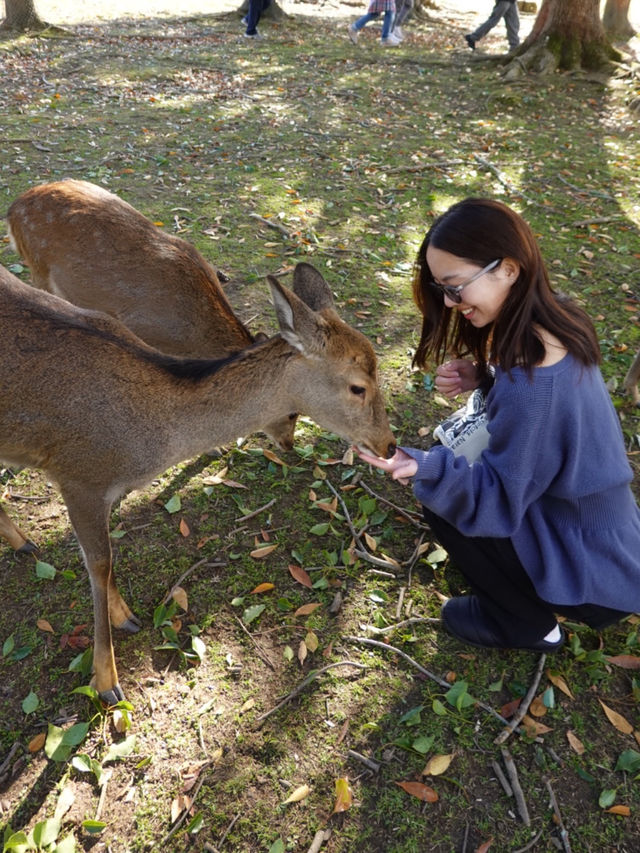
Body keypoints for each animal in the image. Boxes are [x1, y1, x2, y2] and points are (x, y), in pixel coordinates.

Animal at [7, 177, 298, 450]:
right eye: (291, 411)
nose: (288, 445)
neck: (192, 334)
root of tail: (12, 210)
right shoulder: (139, 327)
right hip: (39, 267)